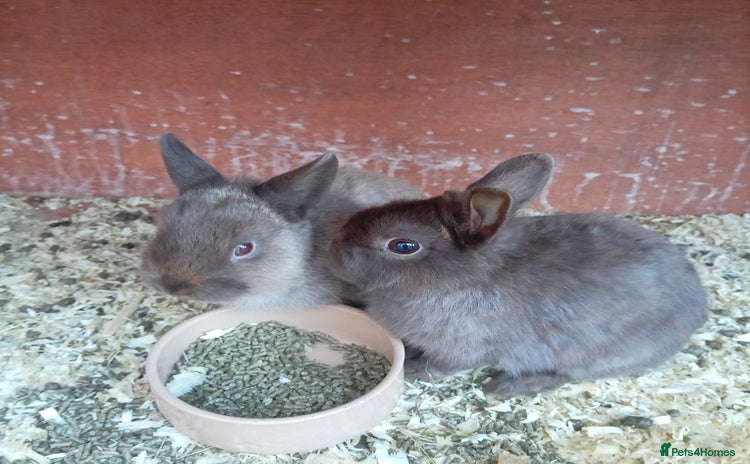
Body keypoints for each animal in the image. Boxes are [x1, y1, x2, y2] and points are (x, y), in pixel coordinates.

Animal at [328, 152, 709, 396]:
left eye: (403, 246)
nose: (334, 247)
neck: (461, 276)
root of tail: (698, 310)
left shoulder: (463, 346)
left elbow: (444, 366)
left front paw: (413, 370)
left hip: (591, 355)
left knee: (564, 375)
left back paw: (506, 387)